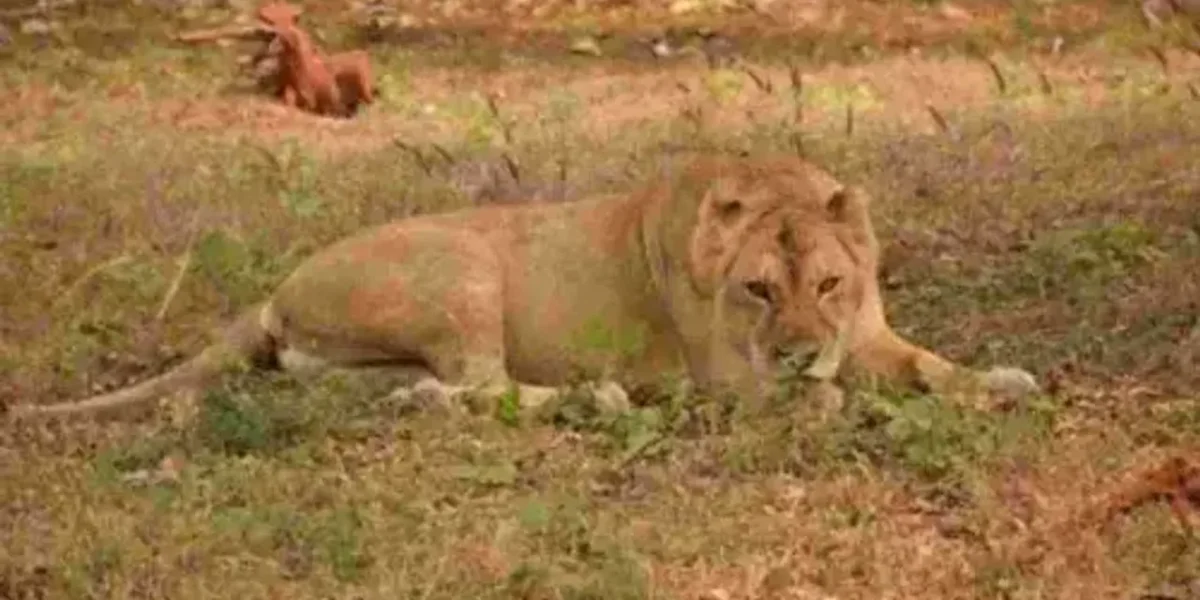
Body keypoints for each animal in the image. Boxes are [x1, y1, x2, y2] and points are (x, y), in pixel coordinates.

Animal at [7, 153, 1039, 422]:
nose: (797, 350)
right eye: (755, 290)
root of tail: (272, 292)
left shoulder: (867, 335)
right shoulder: (729, 379)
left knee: (441, 392)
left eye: (829, 282)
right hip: (462, 267)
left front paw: (1001, 381)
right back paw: (604, 397)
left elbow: (931, 366)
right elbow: (819, 399)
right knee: (490, 385)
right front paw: (823, 397)